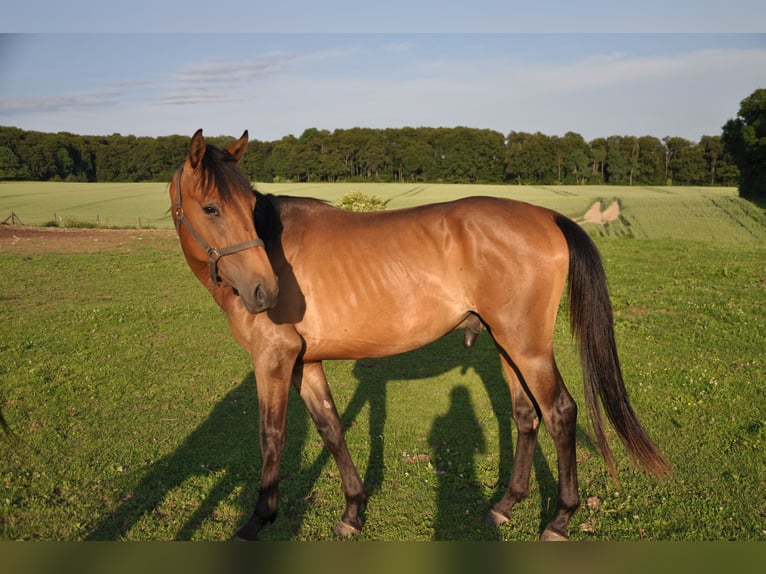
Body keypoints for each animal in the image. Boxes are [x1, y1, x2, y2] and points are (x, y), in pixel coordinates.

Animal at [169, 129, 670, 541]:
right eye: (212, 208)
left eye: (250, 209)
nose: (265, 291)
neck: (274, 248)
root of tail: (547, 216)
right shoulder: (304, 362)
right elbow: (331, 428)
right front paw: (353, 511)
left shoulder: (273, 358)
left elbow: (271, 436)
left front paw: (256, 521)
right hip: (506, 343)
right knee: (526, 415)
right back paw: (505, 505)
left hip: (528, 349)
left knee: (560, 413)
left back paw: (560, 520)